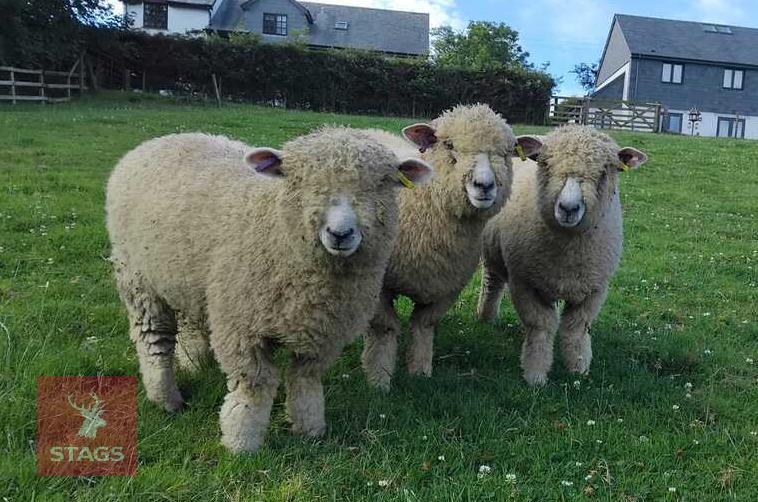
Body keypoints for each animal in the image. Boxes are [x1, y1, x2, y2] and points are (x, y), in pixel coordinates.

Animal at [106, 129, 432, 452]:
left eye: (381, 184)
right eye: (300, 181)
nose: (340, 234)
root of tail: (159, 139)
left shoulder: (323, 332)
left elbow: (305, 380)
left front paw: (310, 429)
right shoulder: (241, 328)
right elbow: (255, 385)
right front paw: (242, 443)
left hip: (184, 279)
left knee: (188, 322)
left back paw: (194, 364)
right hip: (138, 279)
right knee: (153, 340)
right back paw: (166, 398)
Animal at [360, 104, 543, 390]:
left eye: (506, 152)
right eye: (448, 145)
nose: (484, 185)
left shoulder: (447, 285)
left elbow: (424, 324)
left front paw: (420, 371)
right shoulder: (377, 286)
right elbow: (384, 327)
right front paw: (379, 379)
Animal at [477, 125, 648, 386]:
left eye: (604, 172)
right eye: (545, 164)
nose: (568, 208)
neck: (568, 254)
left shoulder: (595, 289)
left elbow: (576, 329)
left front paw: (578, 368)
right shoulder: (523, 283)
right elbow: (541, 326)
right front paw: (536, 373)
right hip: (492, 252)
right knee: (492, 283)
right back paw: (485, 316)